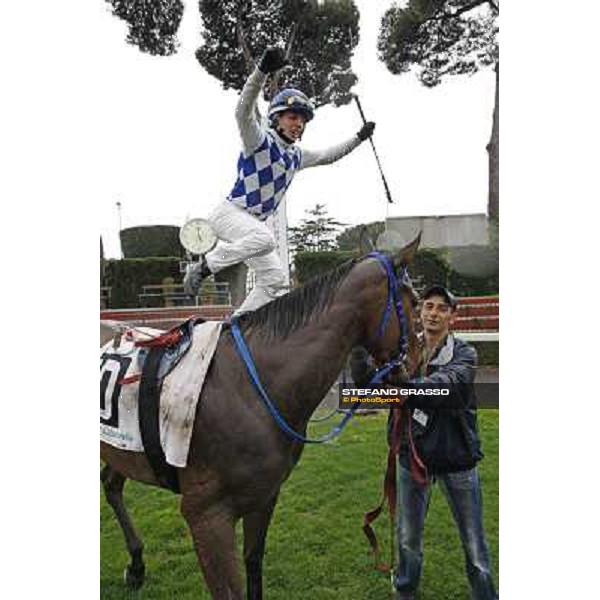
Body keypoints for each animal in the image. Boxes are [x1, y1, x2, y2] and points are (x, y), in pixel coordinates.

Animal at [101, 237, 422, 596]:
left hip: (122, 452)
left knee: (111, 485)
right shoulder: (205, 515)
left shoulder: (264, 496)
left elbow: (254, 564)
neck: (253, 387)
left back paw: (136, 564)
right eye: (415, 302)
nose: (418, 364)